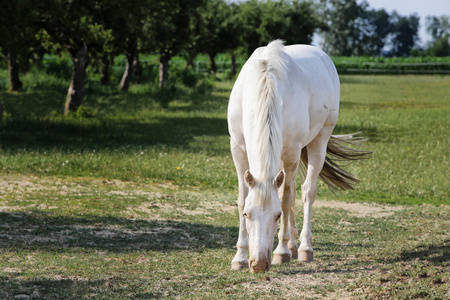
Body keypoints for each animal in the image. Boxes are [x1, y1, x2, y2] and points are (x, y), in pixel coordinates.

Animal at [227, 39, 370, 272]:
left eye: (276, 215)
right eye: (247, 214)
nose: (259, 264)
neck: (265, 84)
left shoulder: (292, 152)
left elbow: (286, 200)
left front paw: (281, 251)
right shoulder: (238, 150)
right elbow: (242, 198)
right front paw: (239, 257)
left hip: (318, 142)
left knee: (306, 191)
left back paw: (303, 247)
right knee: (292, 188)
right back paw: (293, 245)